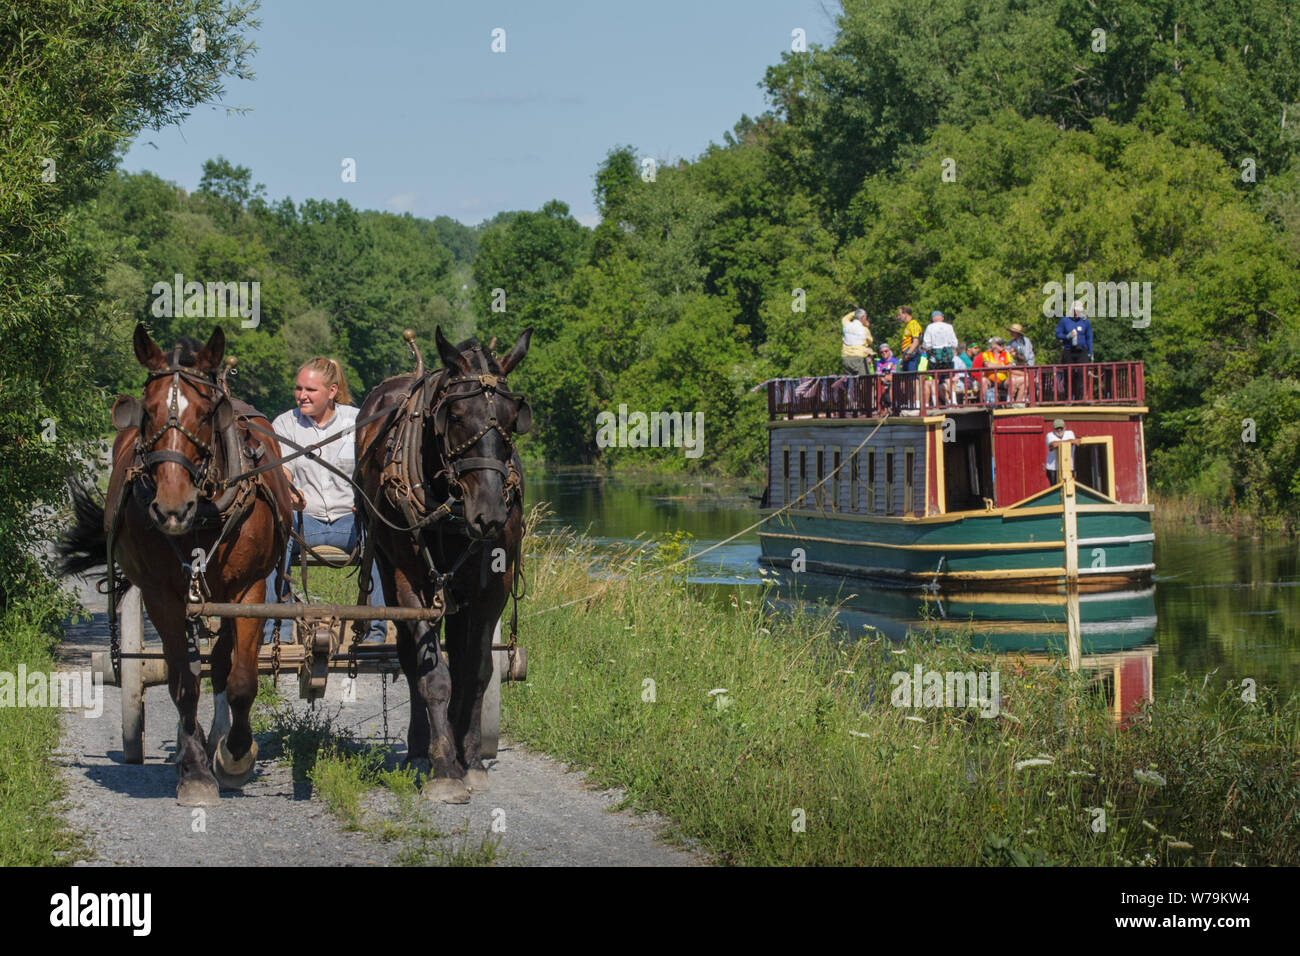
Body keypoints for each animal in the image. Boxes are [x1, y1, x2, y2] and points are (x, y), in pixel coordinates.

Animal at [59, 324, 292, 806]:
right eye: (146, 413)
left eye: (205, 414)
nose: (171, 508)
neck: (203, 515)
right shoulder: (162, 595)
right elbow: (183, 680)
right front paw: (196, 771)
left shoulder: (249, 591)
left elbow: (241, 679)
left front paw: (235, 755)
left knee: (221, 663)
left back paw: (220, 739)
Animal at [355, 326, 531, 804]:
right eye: (454, 415)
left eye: (512, 418)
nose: (489, 515)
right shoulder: (410, 583)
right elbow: (433, 675)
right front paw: (444, 769)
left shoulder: (491, 588)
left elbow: (476, 671)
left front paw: (470, 759)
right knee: (411, 658)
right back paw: (422, 749)